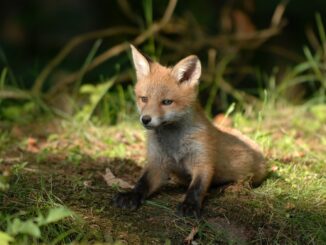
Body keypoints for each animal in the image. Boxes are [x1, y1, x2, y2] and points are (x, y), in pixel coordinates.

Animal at [112, 45, 268, 217]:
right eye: (144, 99)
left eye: (167, 102)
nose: (145, 119)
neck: (174, 142)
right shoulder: (157, 163)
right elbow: (142, 183)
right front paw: (131, 195)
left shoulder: (203, 161)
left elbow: (196, 188)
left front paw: (190, 205)